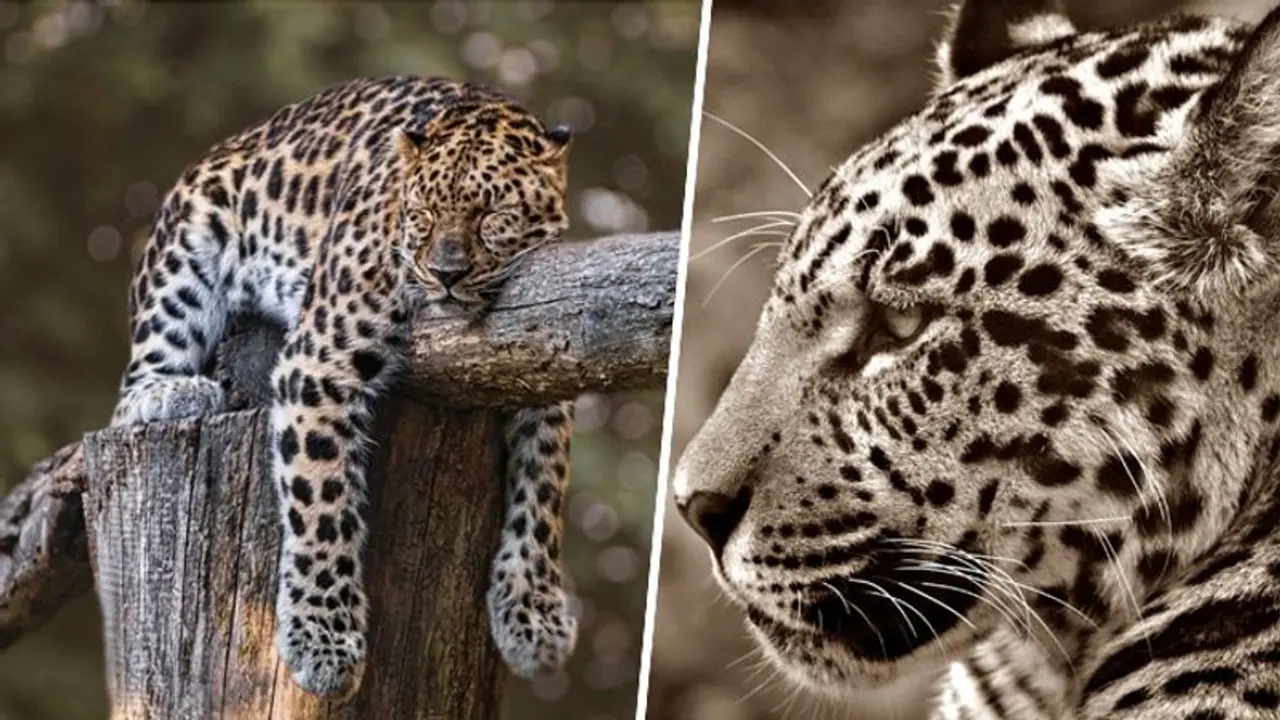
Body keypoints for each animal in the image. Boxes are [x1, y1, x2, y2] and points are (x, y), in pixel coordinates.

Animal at [108, 75, 579, 700]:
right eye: (424, 213)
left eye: (492, 213)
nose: (446, 274)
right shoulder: (319, 364)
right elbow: (322, 500)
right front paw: (322, 642)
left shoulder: (547, 375)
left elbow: (543, 494)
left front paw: (533, 618)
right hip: (184, 251)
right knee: (132, 388)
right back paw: (172, 393)